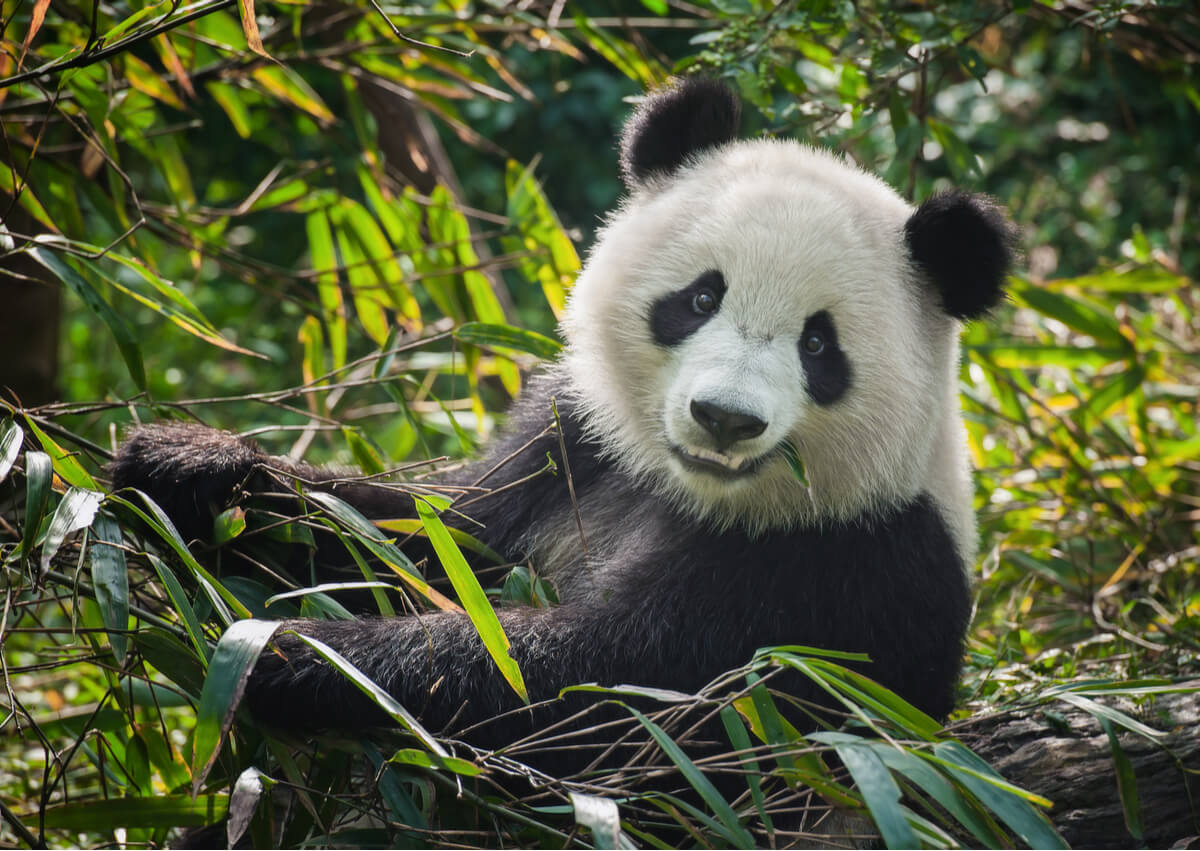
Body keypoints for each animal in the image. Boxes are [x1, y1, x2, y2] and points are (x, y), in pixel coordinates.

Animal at [110, 78, 1012, 744]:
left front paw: (300, 654)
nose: (724, 417)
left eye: (819, 345)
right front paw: (188, 468)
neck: (695, 490)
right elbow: (425, 536)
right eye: (701, 298)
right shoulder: (576, 447)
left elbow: (601, 679)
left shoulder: (839, 569)